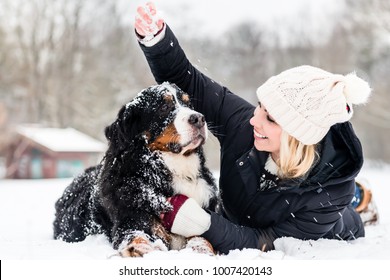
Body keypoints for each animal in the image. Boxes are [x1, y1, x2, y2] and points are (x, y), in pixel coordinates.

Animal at [53, 82, 219, 258]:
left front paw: (201, 251)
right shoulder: (133, 219)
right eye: (164, 107)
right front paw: (139, 249)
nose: (199, 118)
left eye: (189, 104)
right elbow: (137, 235)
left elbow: (202, 238)